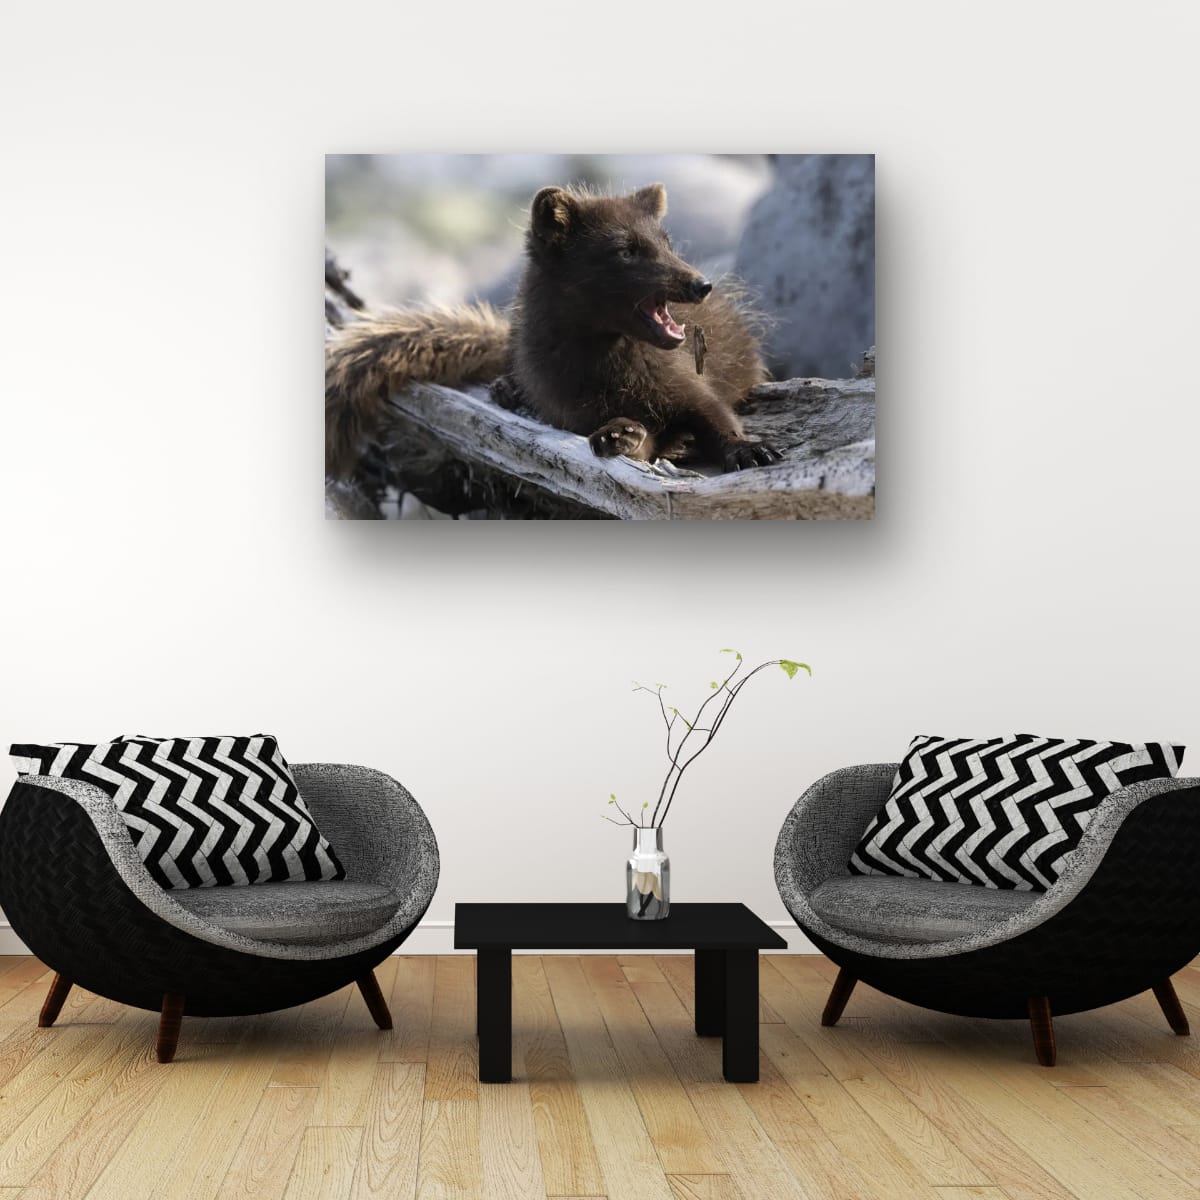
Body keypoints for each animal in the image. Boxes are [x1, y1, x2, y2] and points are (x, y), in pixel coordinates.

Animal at [325, 182, 780, 479]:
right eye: (626, 250)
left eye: (668, 243)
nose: (701, 284)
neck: (613, 374)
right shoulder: (574, 412)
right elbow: (645, 444)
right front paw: (622, 434)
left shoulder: (689, 384)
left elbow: (716, 415)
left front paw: (751, 450)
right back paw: (507, 390)